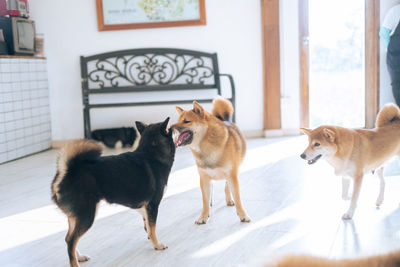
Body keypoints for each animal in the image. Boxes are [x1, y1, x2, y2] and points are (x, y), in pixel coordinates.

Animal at [50, 119, 174, 267]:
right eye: (171, 130)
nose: (175, 129)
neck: (151, 154)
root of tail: (66, 172)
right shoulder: (152, 205)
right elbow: (153, 228)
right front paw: (158, 245)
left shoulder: (144, 208)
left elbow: (148, 228)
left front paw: (151, 240)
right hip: (87, 216)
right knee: (71, 240)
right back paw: (75, 263)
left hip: (76, 216)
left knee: (69, 238)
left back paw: (78, 257)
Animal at [172, 97, 250, 225]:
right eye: (177, 121)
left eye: (186, 121)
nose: (169, 128)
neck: (206, 147)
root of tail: (225, 120)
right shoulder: (204, 178)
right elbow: (205, 200)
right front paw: (203, 216)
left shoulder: (232, 176)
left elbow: (238, 198)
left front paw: (243, 215)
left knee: (226, 187)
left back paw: (229, 200)